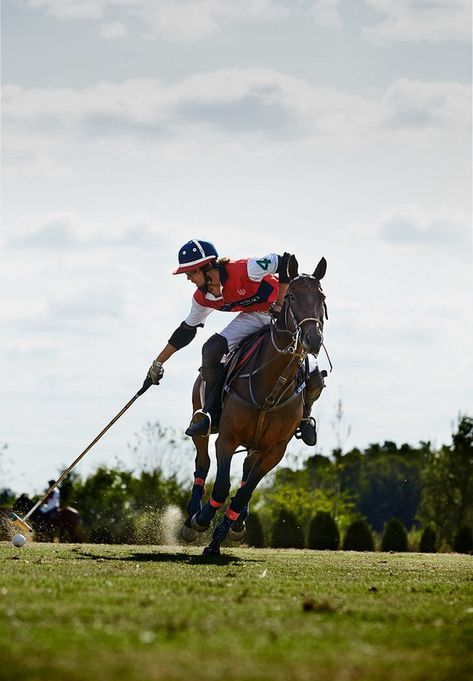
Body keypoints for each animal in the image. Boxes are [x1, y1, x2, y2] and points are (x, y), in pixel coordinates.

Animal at [179, 254, 326, 552]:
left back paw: (236, 524)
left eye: (322, 296)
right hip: (201, 419)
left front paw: (220, 537)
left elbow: (244, 491)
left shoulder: (275, 450)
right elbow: (222, 486)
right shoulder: (227, 438)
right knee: (203, 460)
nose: (312, 339)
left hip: (258, 445)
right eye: (292, 296)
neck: (270, 388)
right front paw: (201, 520)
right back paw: (191, 516)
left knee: (247, 472)